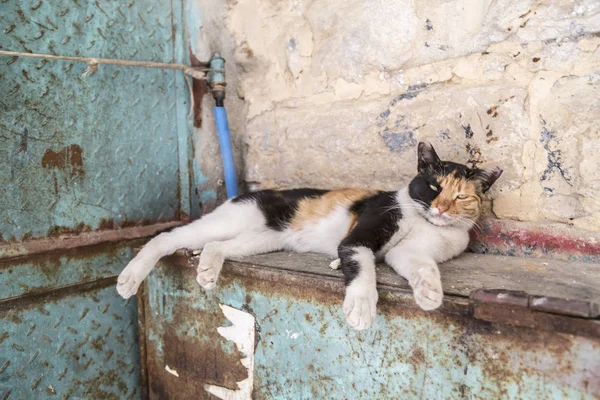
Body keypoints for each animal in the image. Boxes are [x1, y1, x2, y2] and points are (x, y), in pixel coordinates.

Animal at [116, 142, 502, 330]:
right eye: (433, 186)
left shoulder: (409, 253)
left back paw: (209, 269)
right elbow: (362, 267)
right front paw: (361, 307)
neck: (424, 222)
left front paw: (429, 293)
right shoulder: (360, 236)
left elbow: (421, 265)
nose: (441, 209)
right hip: (226, 221)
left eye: (461, 197)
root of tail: (243, 195)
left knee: (216, 245)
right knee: (168, 237)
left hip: (262, 239)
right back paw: (129, 278)